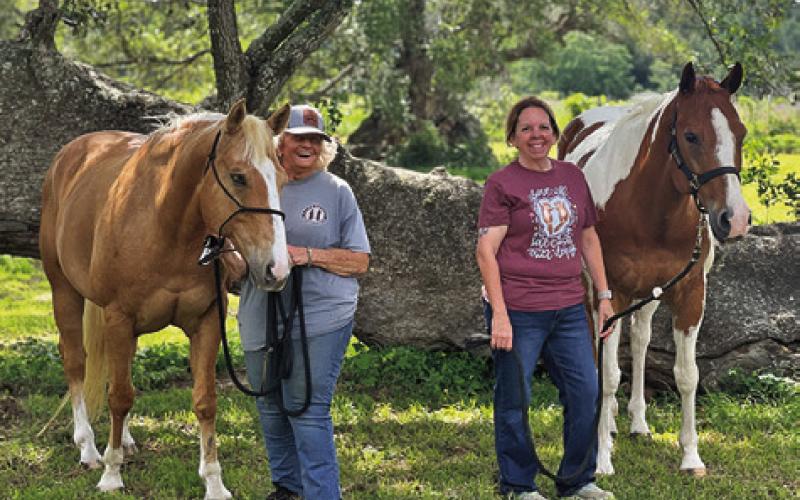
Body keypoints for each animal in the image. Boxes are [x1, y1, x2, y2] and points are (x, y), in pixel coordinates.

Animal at [39, 100, 292, 498]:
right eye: (238, 177)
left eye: (281, 179)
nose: (276, 269)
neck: (164, 225)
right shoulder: (118, 316)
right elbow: (119, 396)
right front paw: (111, 474)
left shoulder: (206, 322)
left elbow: (204, 401)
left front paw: (214, 482)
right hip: (63, 290)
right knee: (76, 362)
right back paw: (90, 448)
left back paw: (123, 440)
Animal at [557, 62, 750, 476]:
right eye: (691, 135)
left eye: (740, 132)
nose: (736, 218)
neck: (646, 209)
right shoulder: (610, 292)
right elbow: (608, 375)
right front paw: (601, 458)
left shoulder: (690, 293)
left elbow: (687, 374)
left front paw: (691, 457)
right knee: (597, 353)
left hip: (648, 293)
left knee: (641, 339)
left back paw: (636, 422)